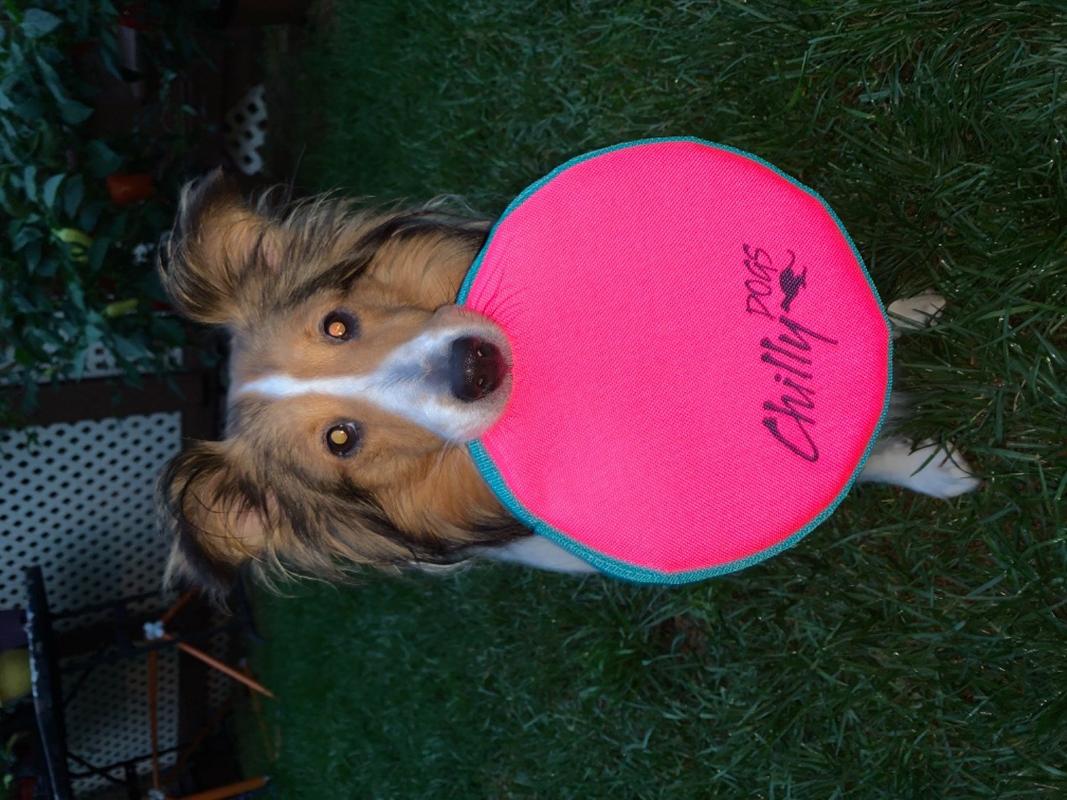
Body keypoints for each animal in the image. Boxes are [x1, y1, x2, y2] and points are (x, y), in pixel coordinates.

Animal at [154, 170, 977, 601]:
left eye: (337, 323)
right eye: (340, 439)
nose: (474, 364)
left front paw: (914, 312)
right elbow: (864, 462)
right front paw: (934, 469)